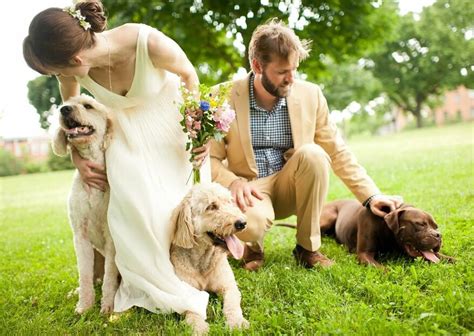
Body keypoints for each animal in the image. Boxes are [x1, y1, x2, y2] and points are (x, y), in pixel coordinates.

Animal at [51, 94, 118, 316]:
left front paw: (108, 306)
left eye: (88, 106)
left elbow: (109, 277)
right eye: (66, 104)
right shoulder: (80, 236)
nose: (63, 109)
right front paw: (84, 306)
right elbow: (84, 274)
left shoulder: (112, 238)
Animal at [171, 182, 252, 334]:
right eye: (211, 207)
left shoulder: (229, 286)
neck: (203, 260)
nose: (242, 223)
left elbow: (232, 304)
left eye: (229, 202)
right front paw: (198, 327)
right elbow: (192, 310)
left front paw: (236, 322)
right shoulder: (186, 293)